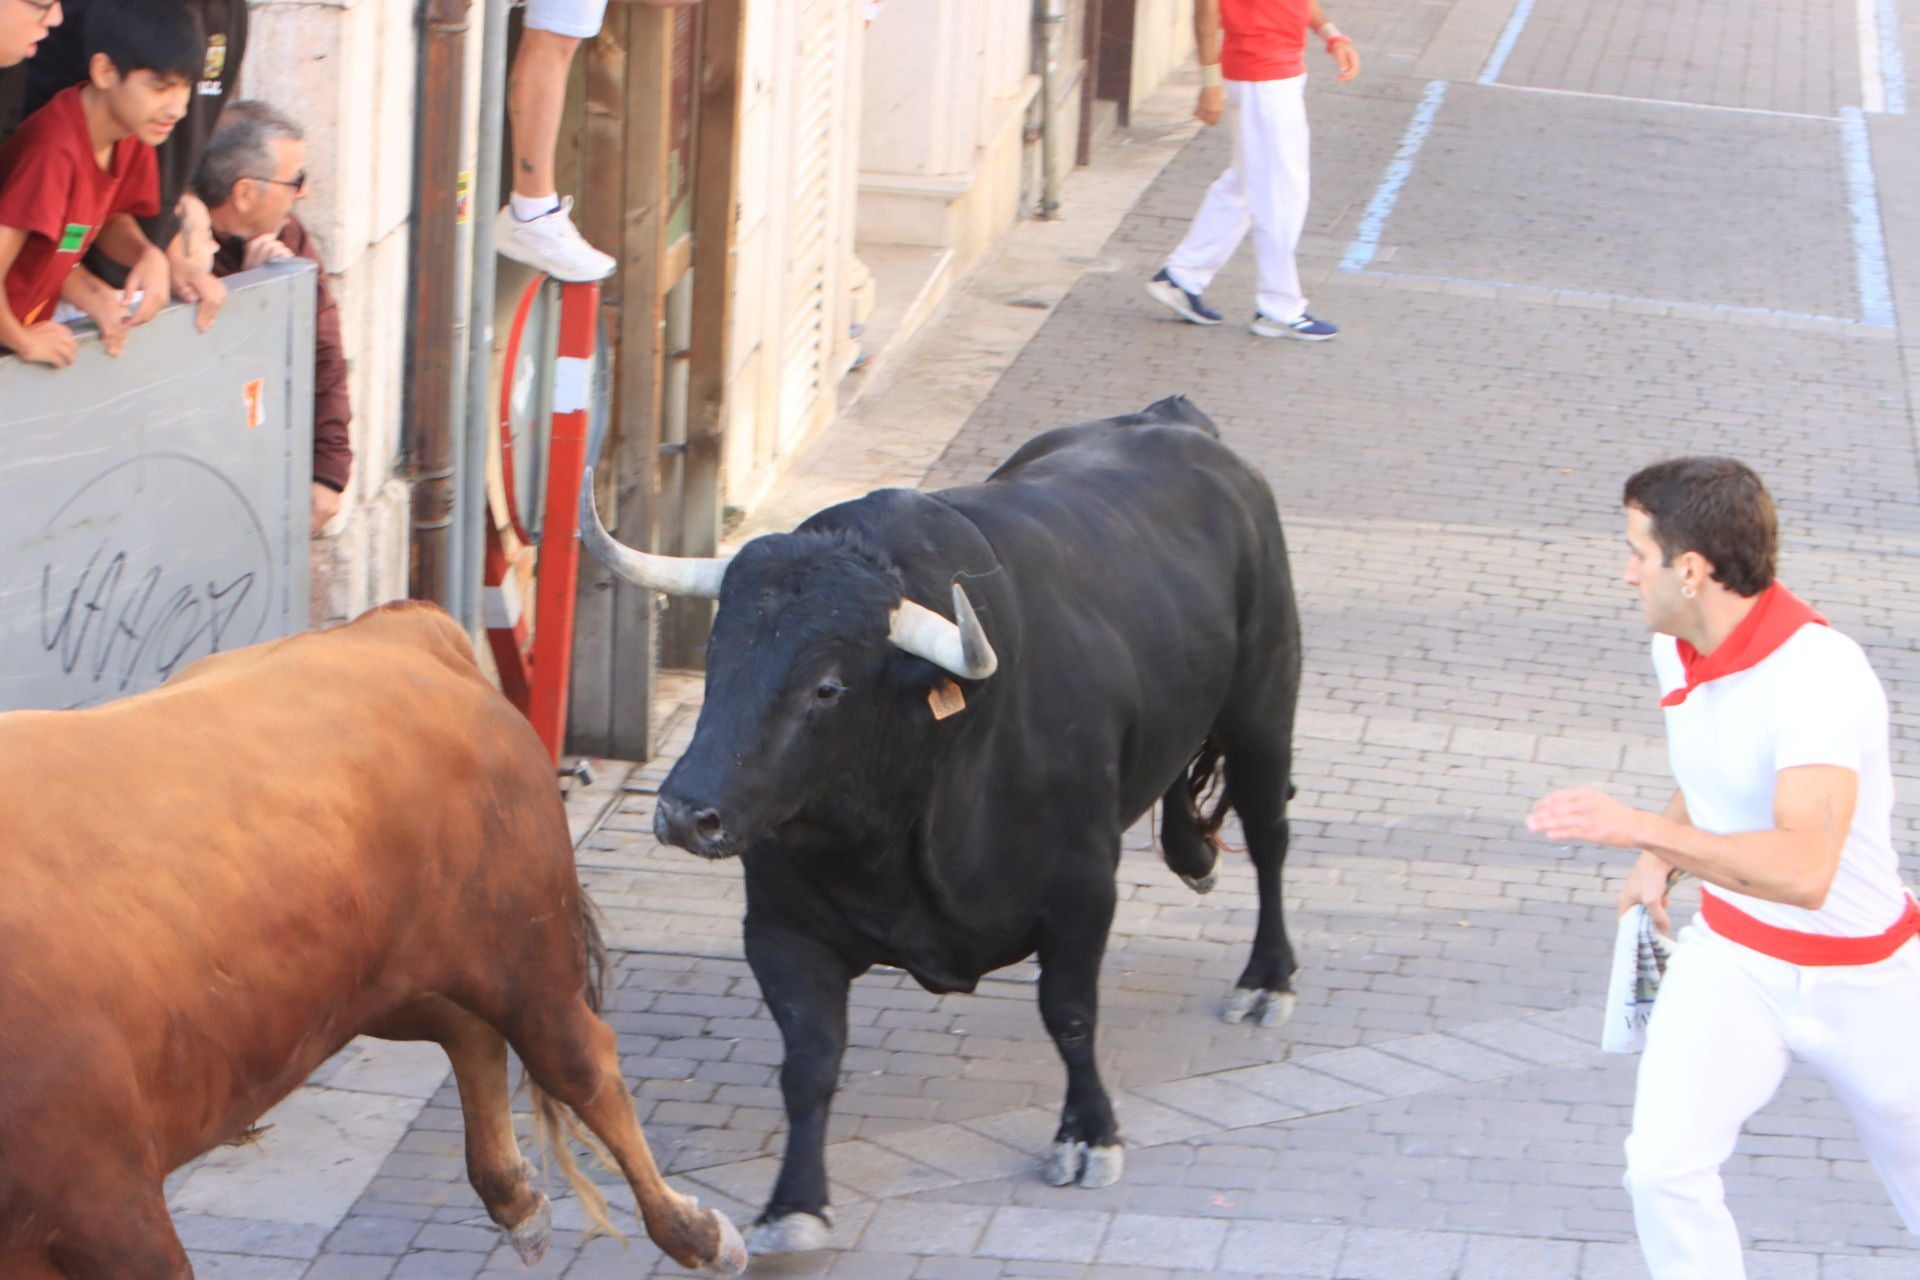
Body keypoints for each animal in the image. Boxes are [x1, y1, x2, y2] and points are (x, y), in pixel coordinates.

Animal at [0, 602, 744, 1280]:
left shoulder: (110, 1202)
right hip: (365, 988)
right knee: (469, 1032)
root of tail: (398, 628)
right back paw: (518, 1201)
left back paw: (694, 1233)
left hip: (527, 959)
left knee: (583, 1063)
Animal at [587, 397, 1305, 1251]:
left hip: (1264, 707)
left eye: (827, 687)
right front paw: (794, 1204)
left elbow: (1069, 1015)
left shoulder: (1081, 894)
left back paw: (1266, 979)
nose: (683, 812)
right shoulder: (781, 928)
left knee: (1270, 837)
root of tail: (1176, 422)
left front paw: (1088, 1133)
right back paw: (1194, 854)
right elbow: (809, 1060)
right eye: (715, 656)